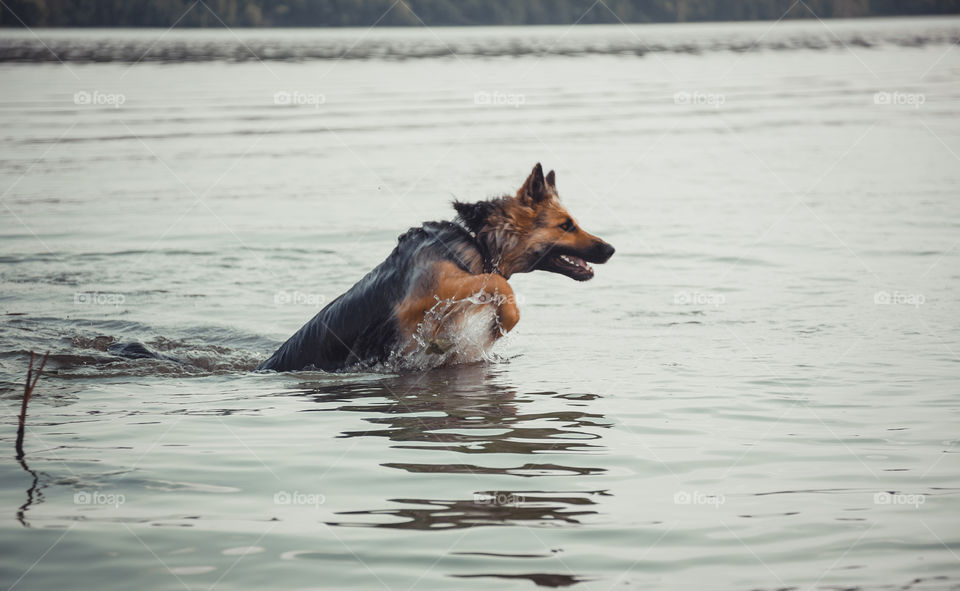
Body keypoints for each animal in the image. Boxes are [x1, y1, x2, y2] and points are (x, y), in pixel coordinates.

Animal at [255, 164, 616, 372]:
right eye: (566, 226)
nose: (611, 250)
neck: (477, 240)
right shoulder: (421, 299)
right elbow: (498, 282)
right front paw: (503, 321)